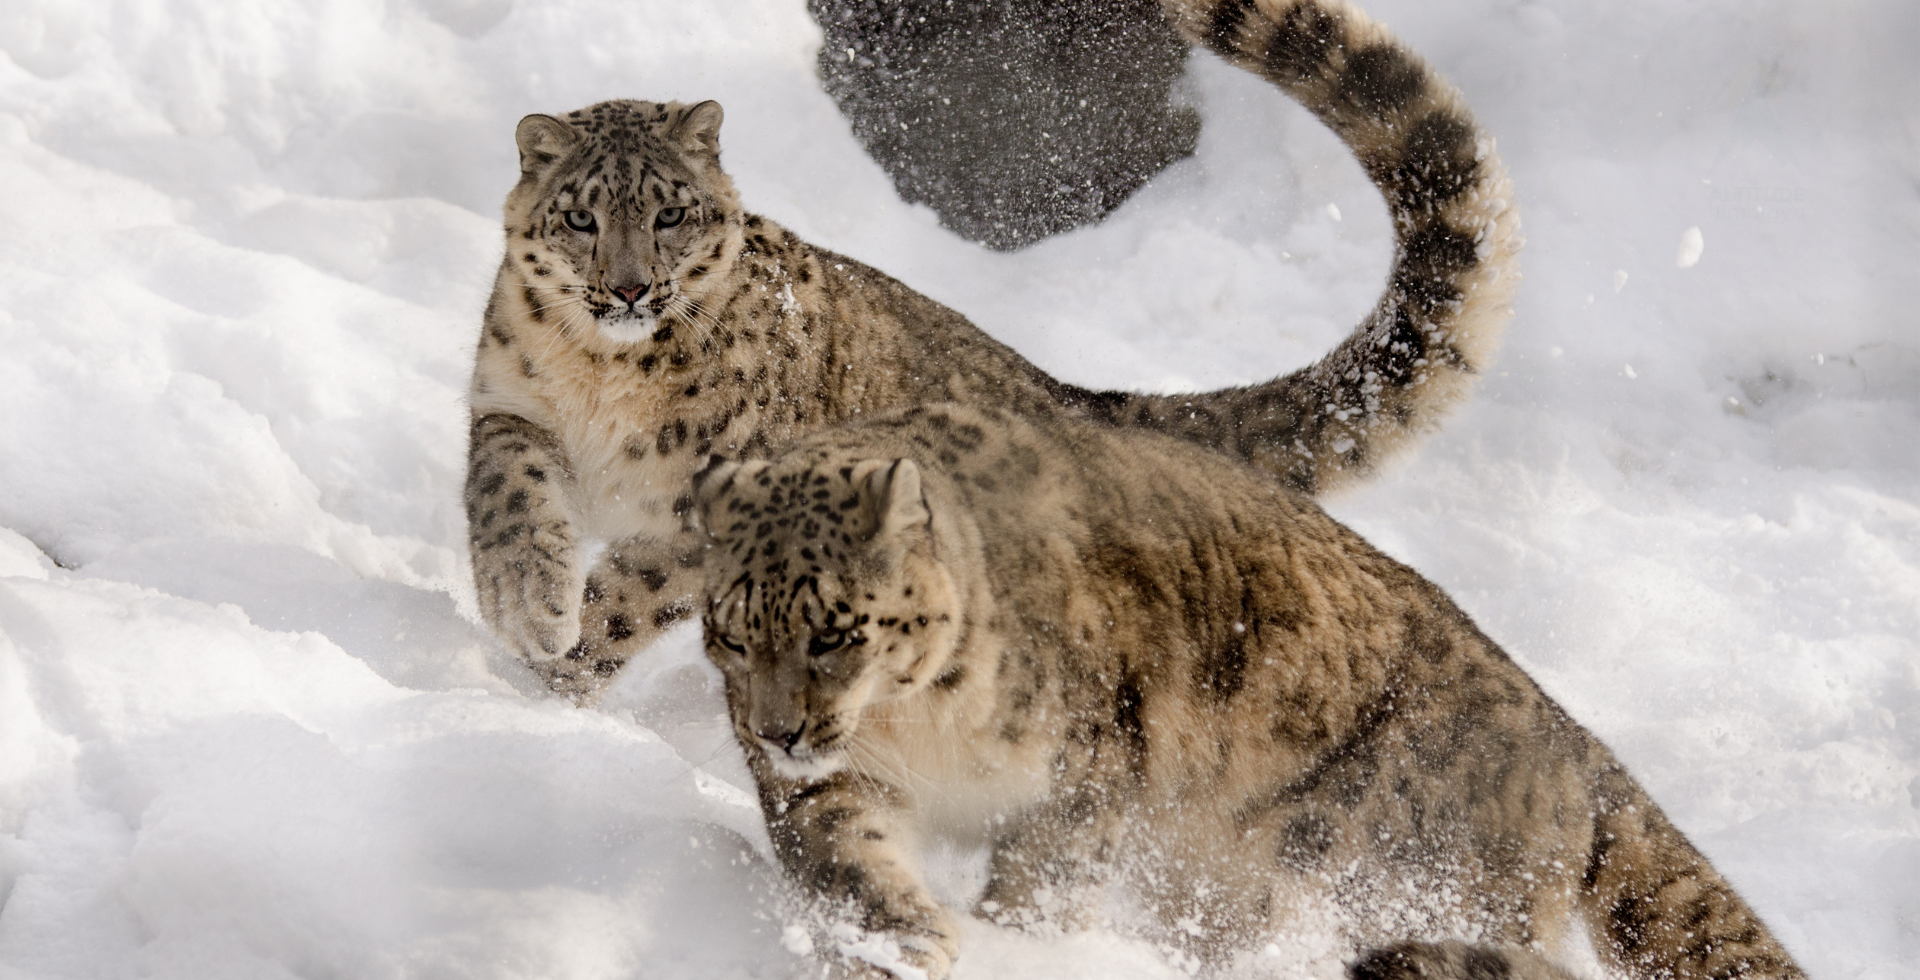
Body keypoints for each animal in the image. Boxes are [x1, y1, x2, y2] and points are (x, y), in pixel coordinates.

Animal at [460, 0, 1512, 699]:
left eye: (670, 214)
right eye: (582, 219)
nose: (631, 288)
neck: (603, 382)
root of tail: (1071, 393)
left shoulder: (713, 502)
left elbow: (630, 595)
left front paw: (554, 669)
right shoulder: (510, 400)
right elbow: (507, 494)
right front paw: (527, 606)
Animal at [698, 397, 1804, 980]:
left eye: (834, 631)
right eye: (731, 633)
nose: (783, 730)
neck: (918, 725)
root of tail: (1568, 733)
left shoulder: (1086, 773)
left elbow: (1044, 878)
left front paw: (1016, 943)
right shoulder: (834, 785)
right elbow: (849, 854)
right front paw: (908, 940)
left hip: (1393, 872)